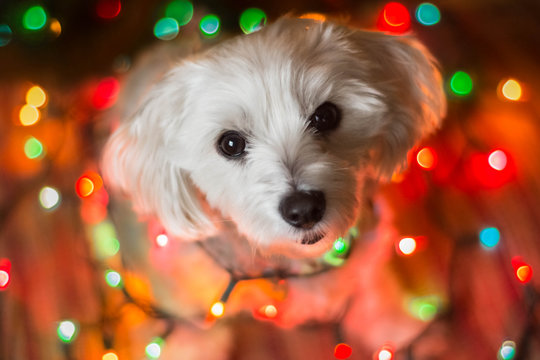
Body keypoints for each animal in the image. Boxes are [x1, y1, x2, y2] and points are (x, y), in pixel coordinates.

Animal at [103, 16, 446, 360]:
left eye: (326, 115)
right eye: (230, 143)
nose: (304, 209)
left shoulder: (364, 270)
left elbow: (377, 306)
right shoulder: (191, 326)